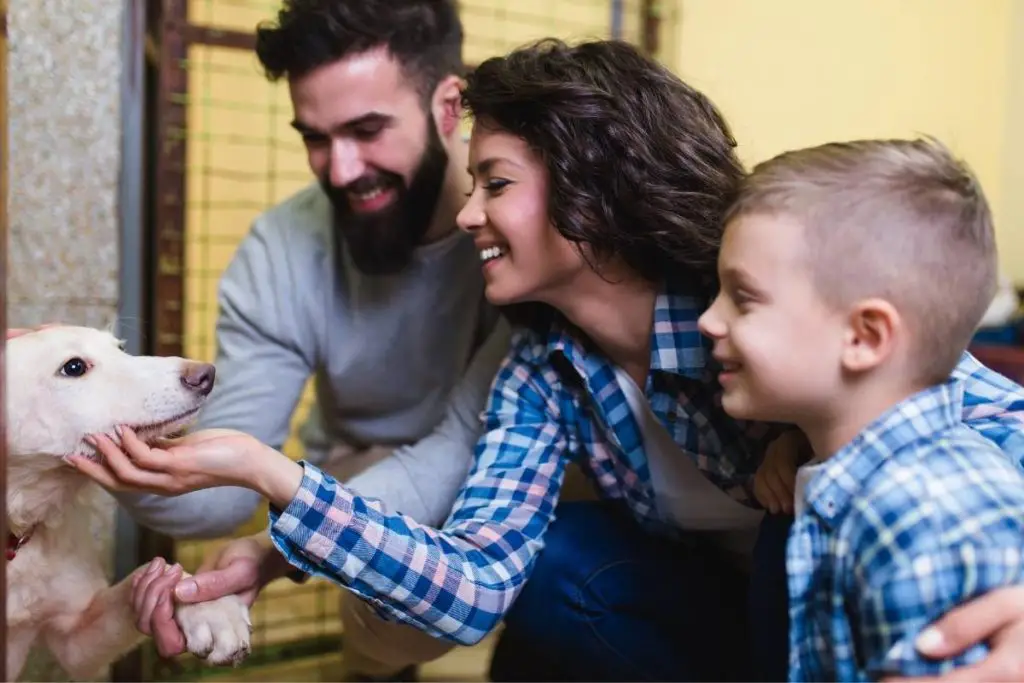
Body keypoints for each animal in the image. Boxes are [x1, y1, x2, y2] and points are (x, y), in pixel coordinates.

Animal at [4, 327, 251, 679]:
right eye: (74, 367)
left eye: (120, 349)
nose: (205, 375)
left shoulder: (75, 641)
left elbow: (150, 572)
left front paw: (206, 605)